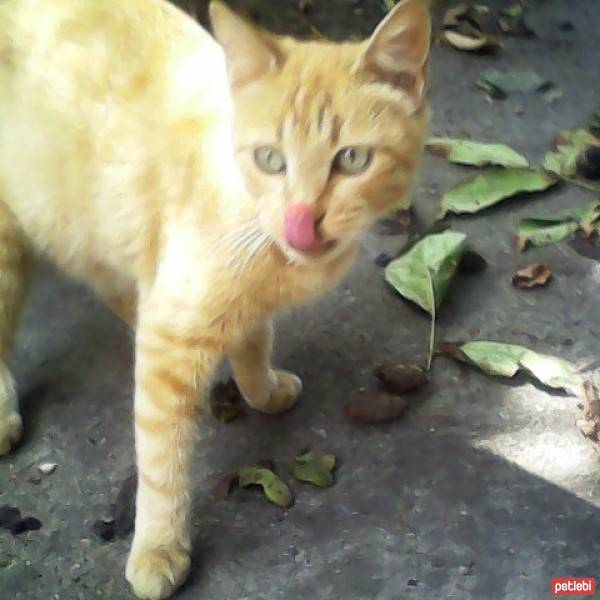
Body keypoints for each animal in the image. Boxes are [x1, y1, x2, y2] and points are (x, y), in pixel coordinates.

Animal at [0, 0, 432, 596]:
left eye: (351, 160)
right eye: (271, 159)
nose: (302, 221)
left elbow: (254, 338)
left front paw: (262, 388)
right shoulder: (174, 331)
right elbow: (162, 461)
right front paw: (159, 548)